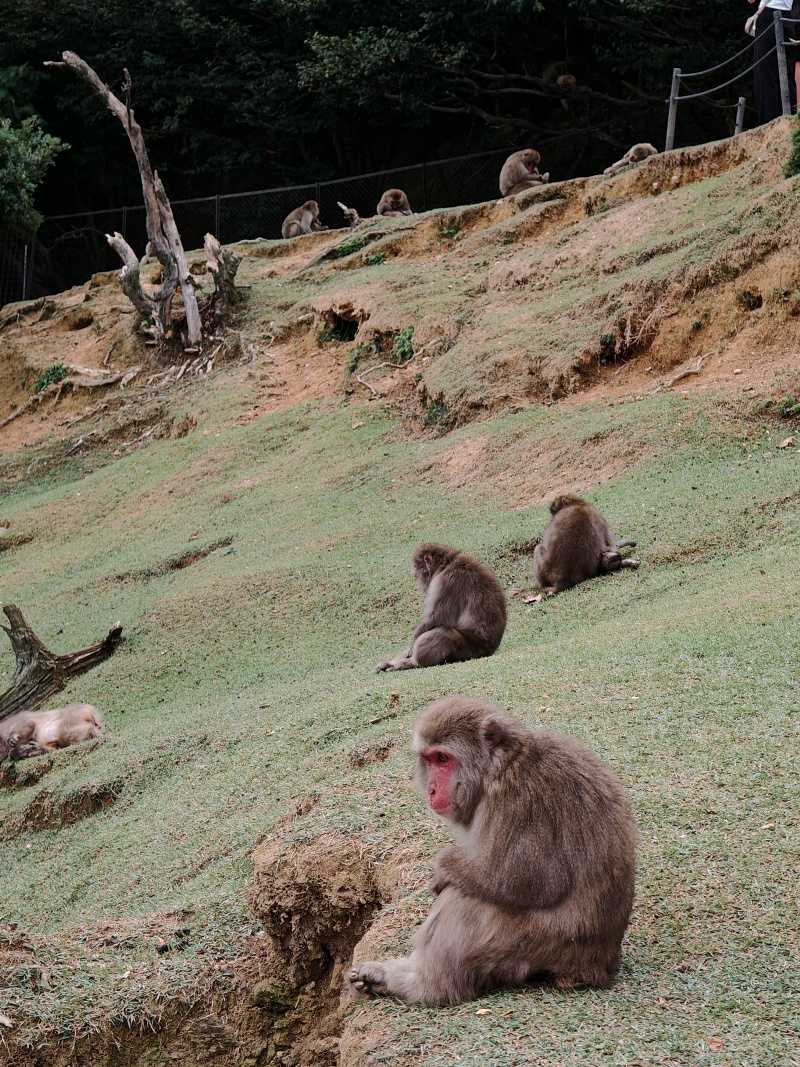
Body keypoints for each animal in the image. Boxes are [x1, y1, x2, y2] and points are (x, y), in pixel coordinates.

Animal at [348, 696, 636, 1005]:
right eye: (428, 759)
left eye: (443, 759)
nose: (432, 790)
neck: (499, 768)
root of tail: (599, 965)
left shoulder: (519, 800)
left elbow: (527, 881)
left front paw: (442, 867)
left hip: (536, 943)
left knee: (464, 898)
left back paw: (425, 985)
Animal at [375, 544, 506, 672]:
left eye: (417, 574)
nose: (420, 585)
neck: (446, 565)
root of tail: (491, 649)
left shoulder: (448, 583)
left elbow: (435, 619)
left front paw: (411, 648)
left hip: (472, 649)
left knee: (443, 634)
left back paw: (412, 663)